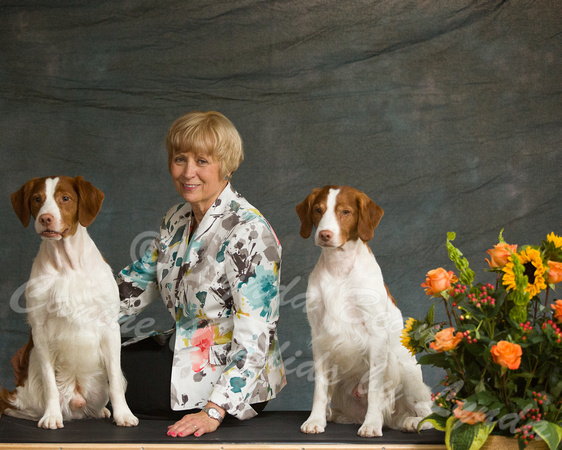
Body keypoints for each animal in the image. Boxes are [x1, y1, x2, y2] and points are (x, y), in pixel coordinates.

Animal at [1, 176, 137, 428]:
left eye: (65, 198)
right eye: (37, 199)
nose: (46, 218)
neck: (66, 264)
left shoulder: (109, 326)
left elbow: (115, 378)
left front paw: (123, 414)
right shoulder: (41, 330)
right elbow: (49, 383)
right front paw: (51, 416)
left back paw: (103, 410)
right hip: (20, 395)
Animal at [296, 185, 430, 436]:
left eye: (345, 212)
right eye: (318, 210)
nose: (324, 234)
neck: (339, 269)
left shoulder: (376, 337)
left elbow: (376, 389)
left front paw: (371, 425)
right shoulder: (319, 337)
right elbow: (320, 389)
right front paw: (316, 420)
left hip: (407, 371)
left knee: (428, 411)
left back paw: (412, 422)